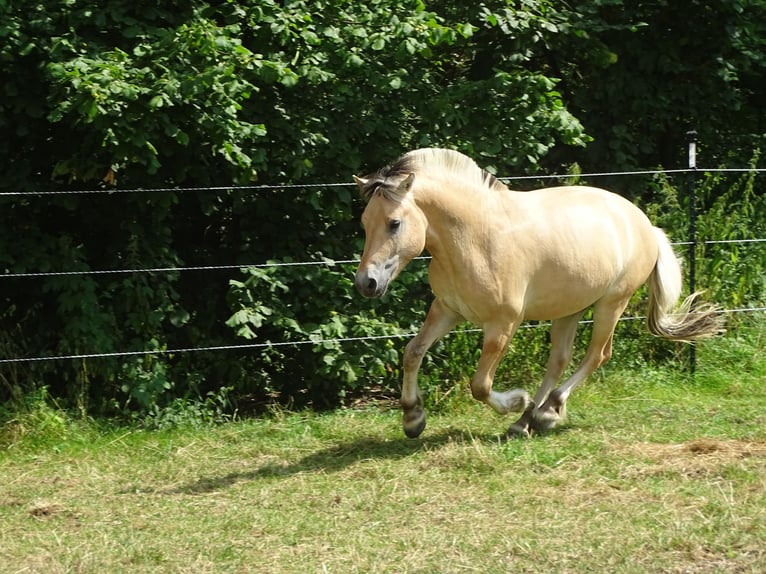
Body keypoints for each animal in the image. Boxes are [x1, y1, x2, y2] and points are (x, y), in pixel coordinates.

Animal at [354, 150, 728, 440]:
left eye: (394, 223)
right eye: (364, 223)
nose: (366, 283)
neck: (474, 238)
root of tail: (645, 224)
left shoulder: (503, 324)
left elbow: (480, 385)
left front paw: (516, 401)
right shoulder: (447, 309)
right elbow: (412, 353)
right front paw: (412, 419)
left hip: (611, 303)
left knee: (597, 355)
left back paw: (546, 412)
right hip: (570, 308)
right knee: (559, 360)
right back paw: (527, 421)